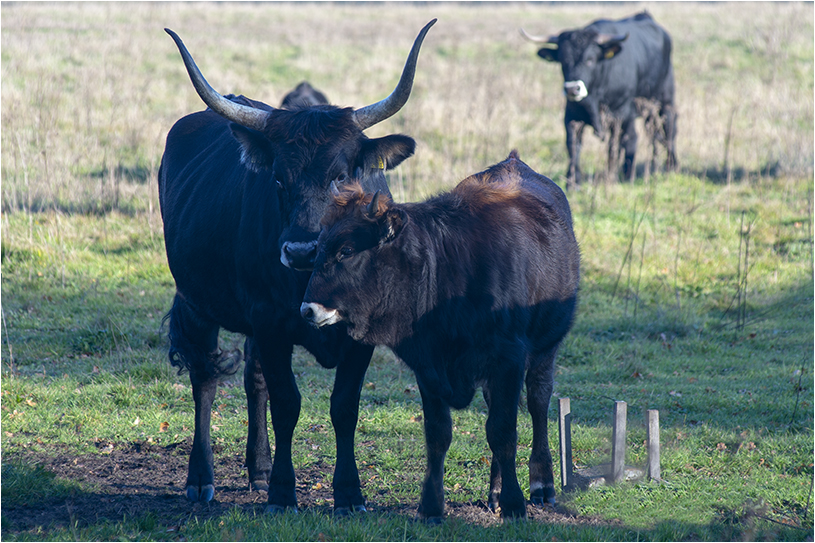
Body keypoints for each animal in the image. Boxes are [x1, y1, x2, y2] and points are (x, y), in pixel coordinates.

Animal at [161, 20, 440, 516]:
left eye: (341, 176)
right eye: (277, 178)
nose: (301, 250)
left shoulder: (358, 333)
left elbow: (343, 406)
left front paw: (348, 494)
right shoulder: (271, 322)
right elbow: (287, 404)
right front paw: (283, 493)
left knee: (252, 378)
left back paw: (257, 468)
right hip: (196, 303)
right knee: (204, 378)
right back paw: (201, 478)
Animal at [302, 151, 580, 520]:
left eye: (346, 251)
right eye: (319, 248)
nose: (307, 309)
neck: (447, 271)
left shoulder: (508, 358)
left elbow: (503, 431)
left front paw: (514, 502)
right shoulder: (429, 365)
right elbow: (439, 434)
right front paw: (432, 505)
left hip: (545, 350)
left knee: (538, 402)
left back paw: (541, 484)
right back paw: (493, 491)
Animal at [524, 10, 680, 184]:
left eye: (590, 60)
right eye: (563, 61)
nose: (572, 89)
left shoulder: (621, 114)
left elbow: (616, 145)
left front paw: (615, 177)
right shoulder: (571, 116)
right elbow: (573, 146)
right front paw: (573, 181)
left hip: (664, 102)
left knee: (667, 130)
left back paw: (668, 166)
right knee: (651, 133)